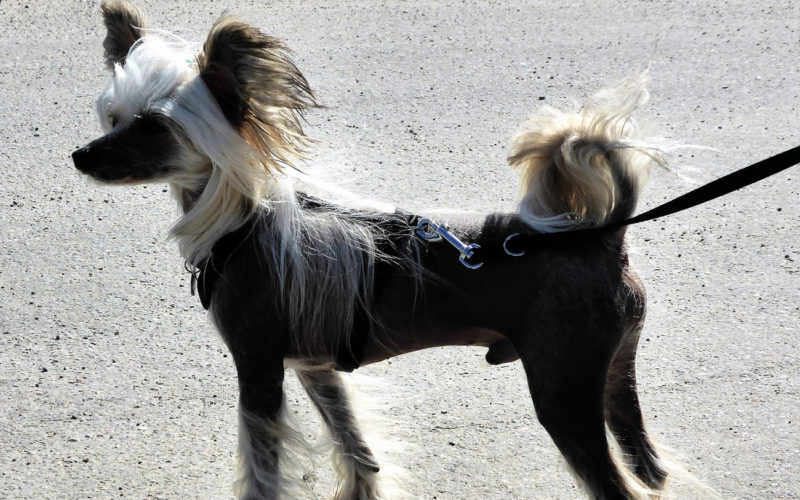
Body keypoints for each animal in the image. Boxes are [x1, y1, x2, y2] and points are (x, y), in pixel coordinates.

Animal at [72, 1, 680, 498]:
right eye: (115, 118)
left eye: (154, 127)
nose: (81, 157)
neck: (242, 224)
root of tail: (605, 237)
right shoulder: (315, 367)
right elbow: (356, 449)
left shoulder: (259, 371)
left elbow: (263, 471)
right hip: (613, 379)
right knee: (649, 470)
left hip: (563, 390)